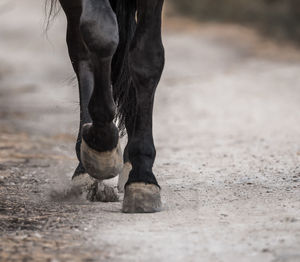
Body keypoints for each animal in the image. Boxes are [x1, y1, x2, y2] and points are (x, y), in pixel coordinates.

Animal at [49, 0, 166, 213]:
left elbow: (146, 59)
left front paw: (142, 176)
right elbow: (99, 33)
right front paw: (101, 145)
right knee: (81, 50)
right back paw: (85, 165)